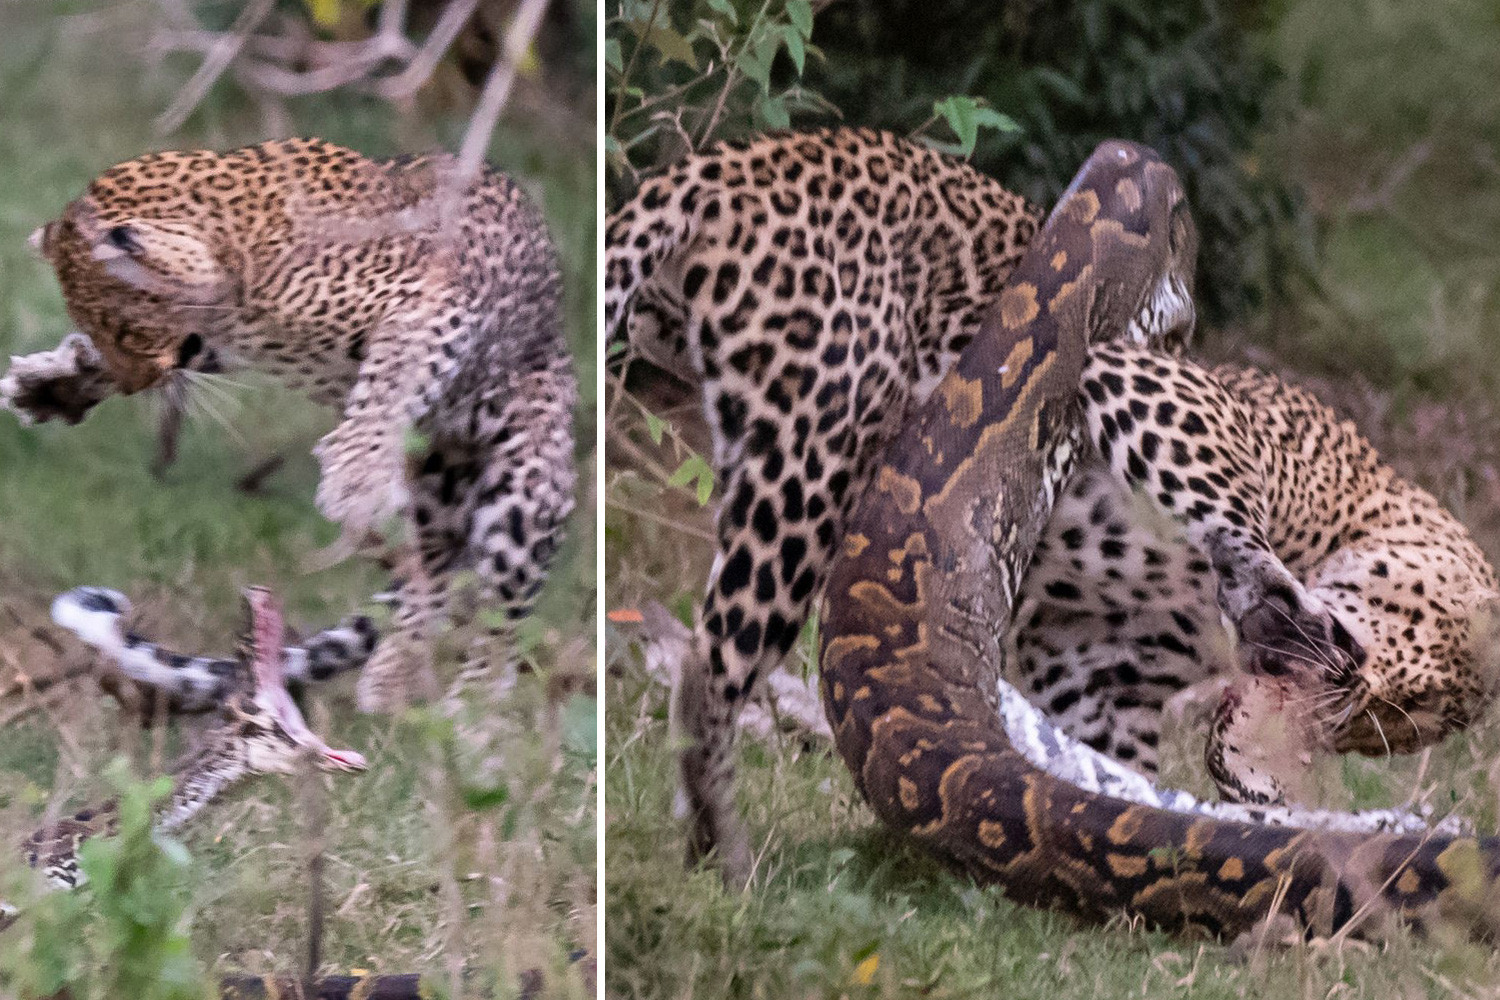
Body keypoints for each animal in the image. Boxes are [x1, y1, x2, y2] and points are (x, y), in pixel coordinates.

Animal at [7, 137, 578, 713]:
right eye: (97, 328)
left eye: (125, 328)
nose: (133, 384)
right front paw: (49, 386)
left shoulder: (435, 300)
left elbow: (393, 373)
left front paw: (354, 474)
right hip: (429, 504)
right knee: (427, 576)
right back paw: (389, 679)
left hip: (526, 488)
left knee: (500, 617)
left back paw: (469, 709)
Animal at [605, 126, 1496, 875]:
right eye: (1392, 698)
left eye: (1388, 727)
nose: (1335, 688)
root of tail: (713, 172)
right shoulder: (1155, 386)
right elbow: (1224, 504)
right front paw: (1270, 595)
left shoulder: (1094, 666)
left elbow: (1126, 775)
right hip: (809, 459)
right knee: (706, 672)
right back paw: (723, 855)